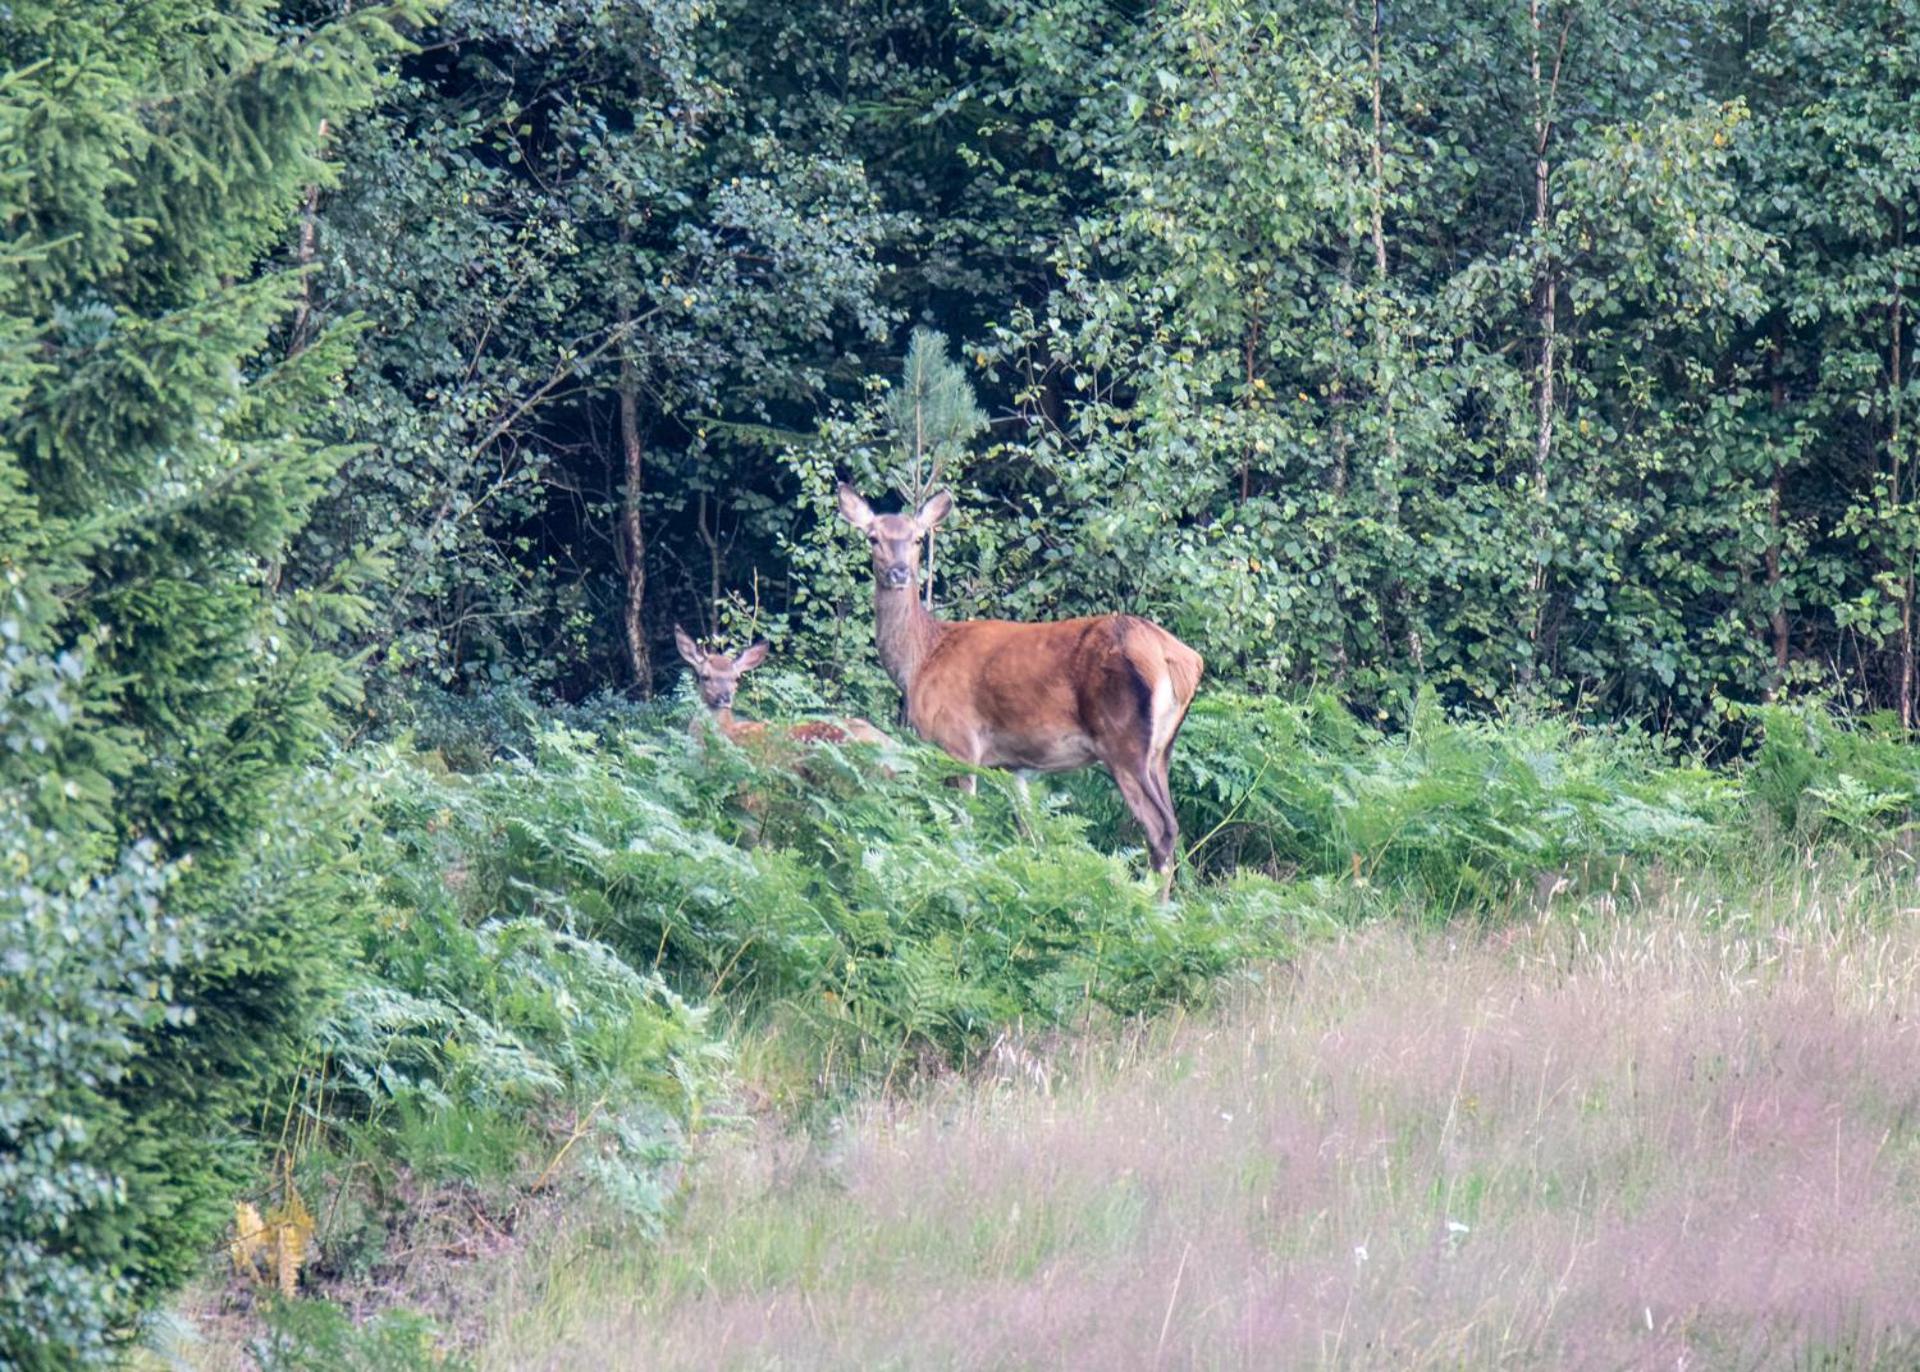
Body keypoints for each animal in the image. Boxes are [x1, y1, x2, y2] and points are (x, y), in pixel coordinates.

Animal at [837, 485, 1198, 901]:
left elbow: (963, 823)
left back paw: (1153, 905)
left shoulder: (958, 742)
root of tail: (1179, 660)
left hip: (1124, 742)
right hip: (1161, 751)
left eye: (916, 539)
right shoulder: (1015, 767)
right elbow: (1030, 833)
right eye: (873, 537)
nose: (899, 572)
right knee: (1173, 823)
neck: (922, 658)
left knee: (1161, 828)